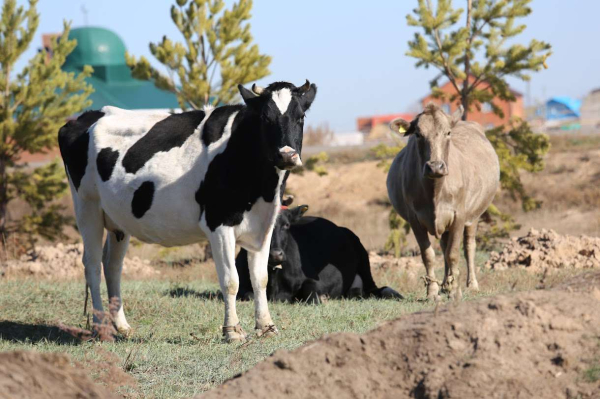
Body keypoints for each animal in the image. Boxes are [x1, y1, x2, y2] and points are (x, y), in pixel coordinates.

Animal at [58, 79, 316, 342]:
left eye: (301, 116)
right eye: (265, 117)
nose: (286, 155)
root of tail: (87, 116)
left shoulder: (263, 225)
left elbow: (260, 278)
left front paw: (266, 326)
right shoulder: (219, 223)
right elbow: (230, 280)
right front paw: (232, 330)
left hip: (117, 220)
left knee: (112, 266)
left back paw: (121, 326)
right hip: (87, 206)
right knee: (91, 265)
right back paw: (100, 327)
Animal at [236, 205, 404, 304]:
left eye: (286, 225)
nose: (275, 254)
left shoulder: (314, 280)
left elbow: (311, 292)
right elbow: (249, 295)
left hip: (365, 265)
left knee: (376, 289)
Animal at [386, 104, 500, 300]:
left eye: (448, 132)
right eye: (418, 134)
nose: (435, 166)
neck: (435, 191)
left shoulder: (459, 216)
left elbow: (453, 253)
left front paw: (455, 292)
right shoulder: (415, 219)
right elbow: (429, 256)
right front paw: (433, 291)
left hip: (474, 215)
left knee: (468, 246)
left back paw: (470, 284)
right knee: (444, 245)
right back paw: (447, 284)